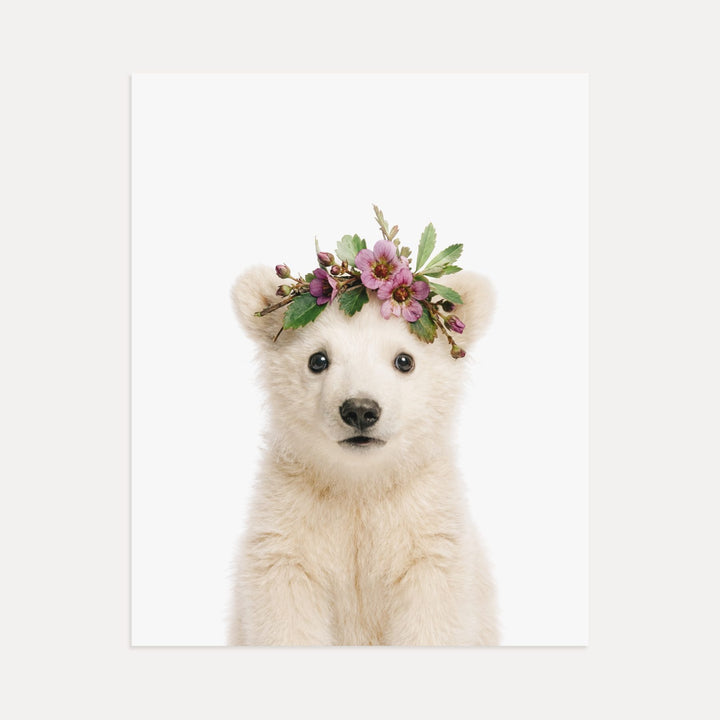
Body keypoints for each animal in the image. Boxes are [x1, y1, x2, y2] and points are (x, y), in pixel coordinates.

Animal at [227, 261, 499, 646]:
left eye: (404, 360)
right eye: (318, 359)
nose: (359, 410)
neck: (359, 484)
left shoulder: (427, 534)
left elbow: (431, 617)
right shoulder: (288, 530)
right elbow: (286, 613)